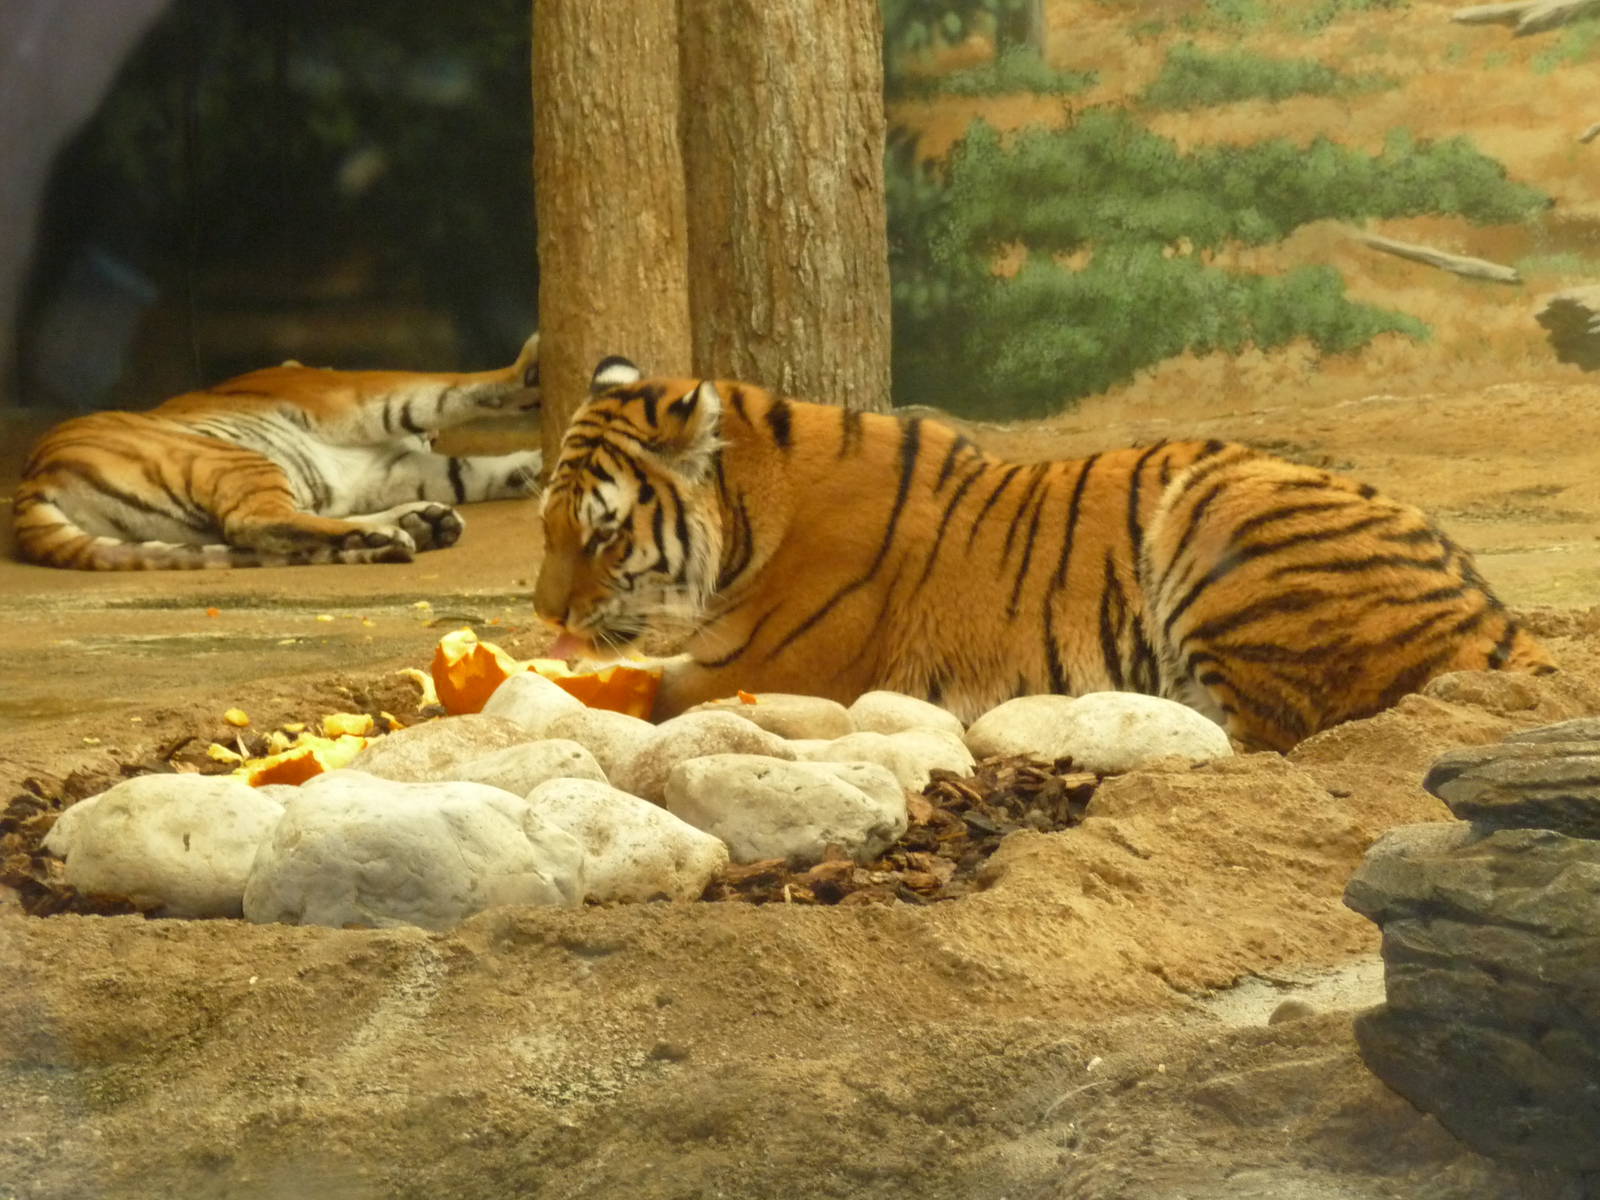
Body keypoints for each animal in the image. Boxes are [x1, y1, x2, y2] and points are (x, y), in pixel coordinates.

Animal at [14, 334, 543, 570]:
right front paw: (528, 368)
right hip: (233, 458)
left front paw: (538, 466)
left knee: (272, 535)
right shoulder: (351, 394)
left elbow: (471, 471)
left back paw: (409, 529)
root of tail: (29, 484)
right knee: (256, 521)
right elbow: (446, 388)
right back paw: (397, 534)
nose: (430, 438)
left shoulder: (390, 470)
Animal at [533, 356, 1556, 751]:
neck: (755, 516)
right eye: (547, 527)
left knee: (1269, 734)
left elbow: (649, 697)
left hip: (1219, 508)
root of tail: (1497, 619)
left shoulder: (757, 670)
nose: (545, 614)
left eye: (603, 530)